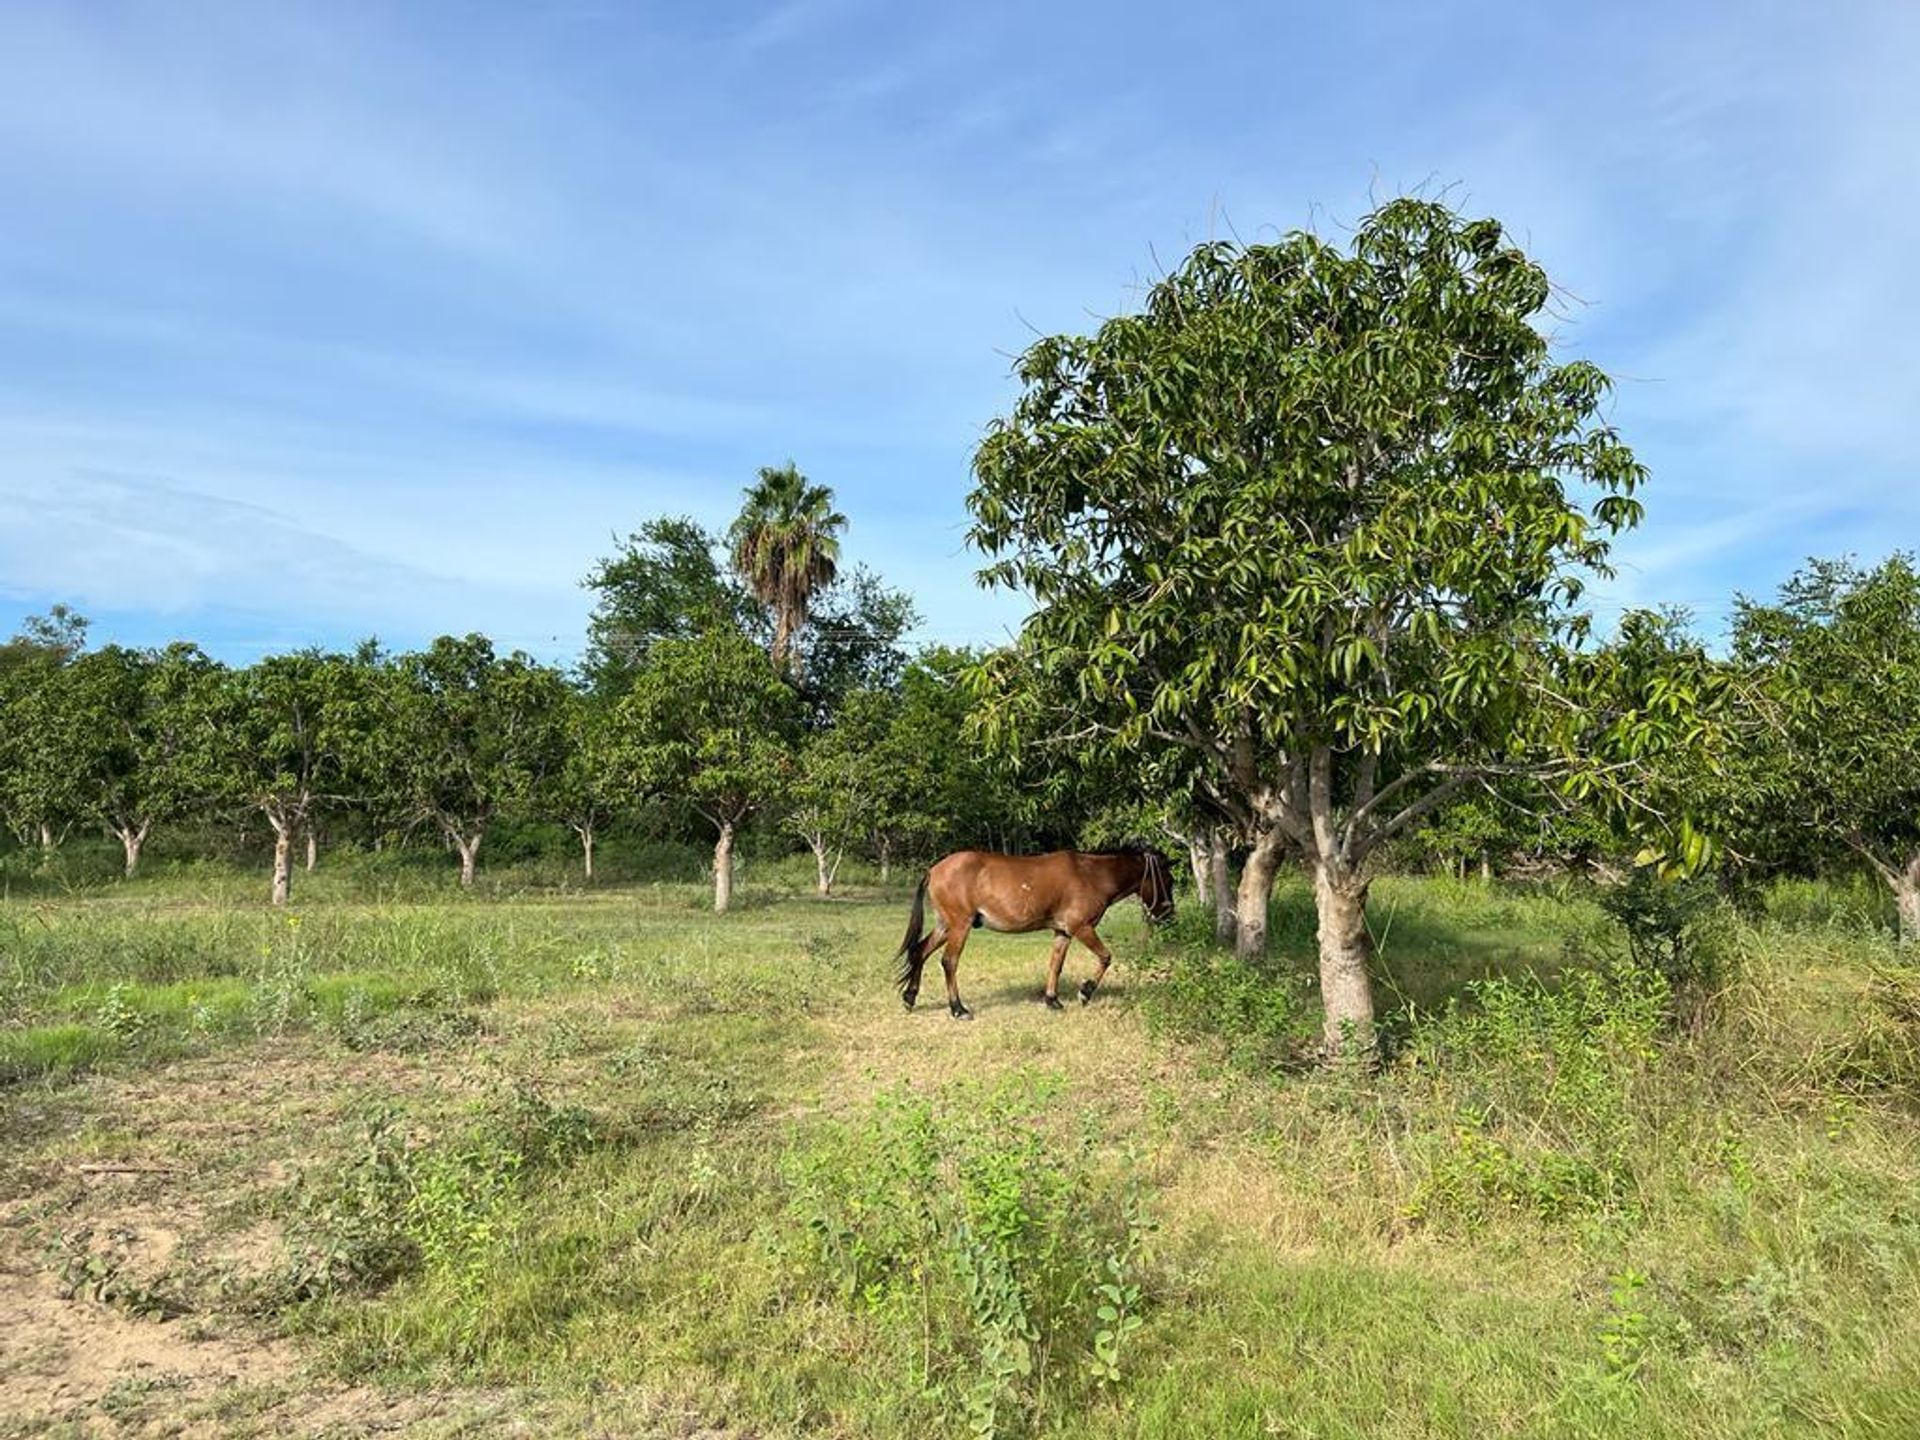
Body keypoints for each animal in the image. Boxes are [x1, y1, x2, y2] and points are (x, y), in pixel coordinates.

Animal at [890, 852, 1175, 1021]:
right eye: (1168, 880)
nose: (1168, 914)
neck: (1092, 875)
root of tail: (934, 870)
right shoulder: (1081, 928)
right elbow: (1105, 957)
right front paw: (1085, 992)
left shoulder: (1063, 932)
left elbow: (1056, 965)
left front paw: (1052, 1000)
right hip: (959, 926)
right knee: (949, 962)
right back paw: (958, 1009)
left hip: (945, 926)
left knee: (920, 951)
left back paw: (910, 997)